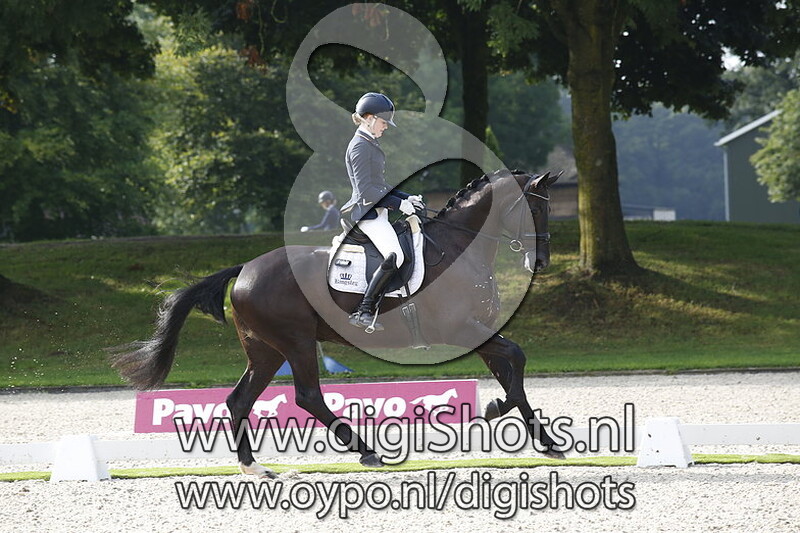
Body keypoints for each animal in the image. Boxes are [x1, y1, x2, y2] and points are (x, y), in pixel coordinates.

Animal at [109, 168, 562, 478]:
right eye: (536, 208)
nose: (539, 262)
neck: (459, 248)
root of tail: (245, 269)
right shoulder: (461, 330)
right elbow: (516, 359)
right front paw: (500, 411)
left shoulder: (479, 331)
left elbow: (513, 372)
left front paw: (541, 438)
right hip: (295, 342)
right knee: (308, 395)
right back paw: (367, 450)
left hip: (266, 350)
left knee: (240, 400)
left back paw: (254, 467)